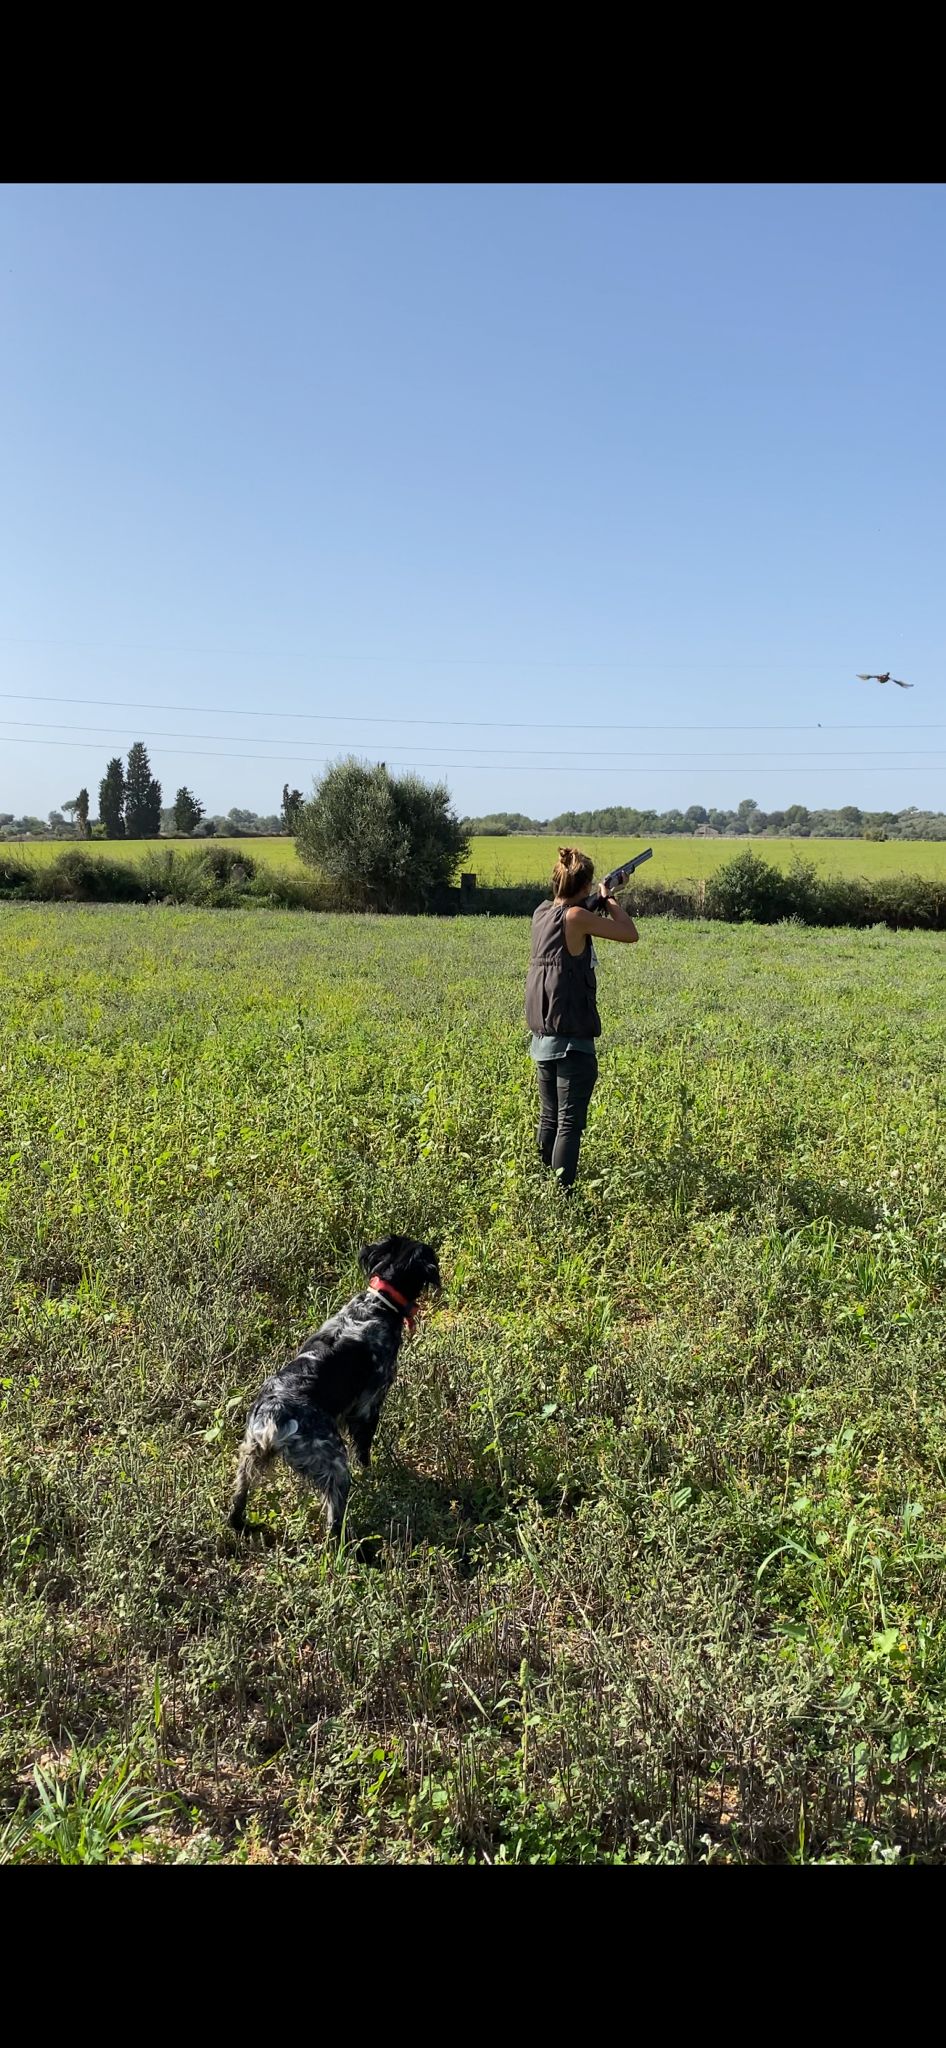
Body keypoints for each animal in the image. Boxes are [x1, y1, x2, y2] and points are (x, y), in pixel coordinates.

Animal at [229, 1228, 440, 1540]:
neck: (378, 1304)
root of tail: (273, 1418)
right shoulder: (368, 1405)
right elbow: (364, 1450)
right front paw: (371, 1473)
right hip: (334, 1464)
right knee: (333, 1525)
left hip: (248, 1457)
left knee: (235, 1507)